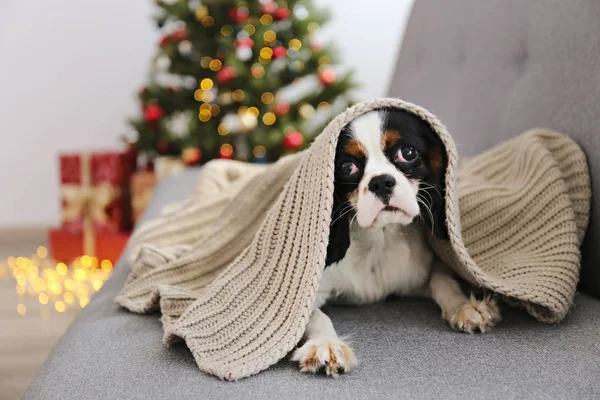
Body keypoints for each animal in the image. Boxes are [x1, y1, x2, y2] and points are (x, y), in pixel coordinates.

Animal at [292, 107, 500, 376]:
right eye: (347, 167)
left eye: (408, 153)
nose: (381, 182)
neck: (379, 240)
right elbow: (312, 315)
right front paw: (325, 345)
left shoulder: (414, 273)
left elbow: (442, 279)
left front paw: (463, 306)